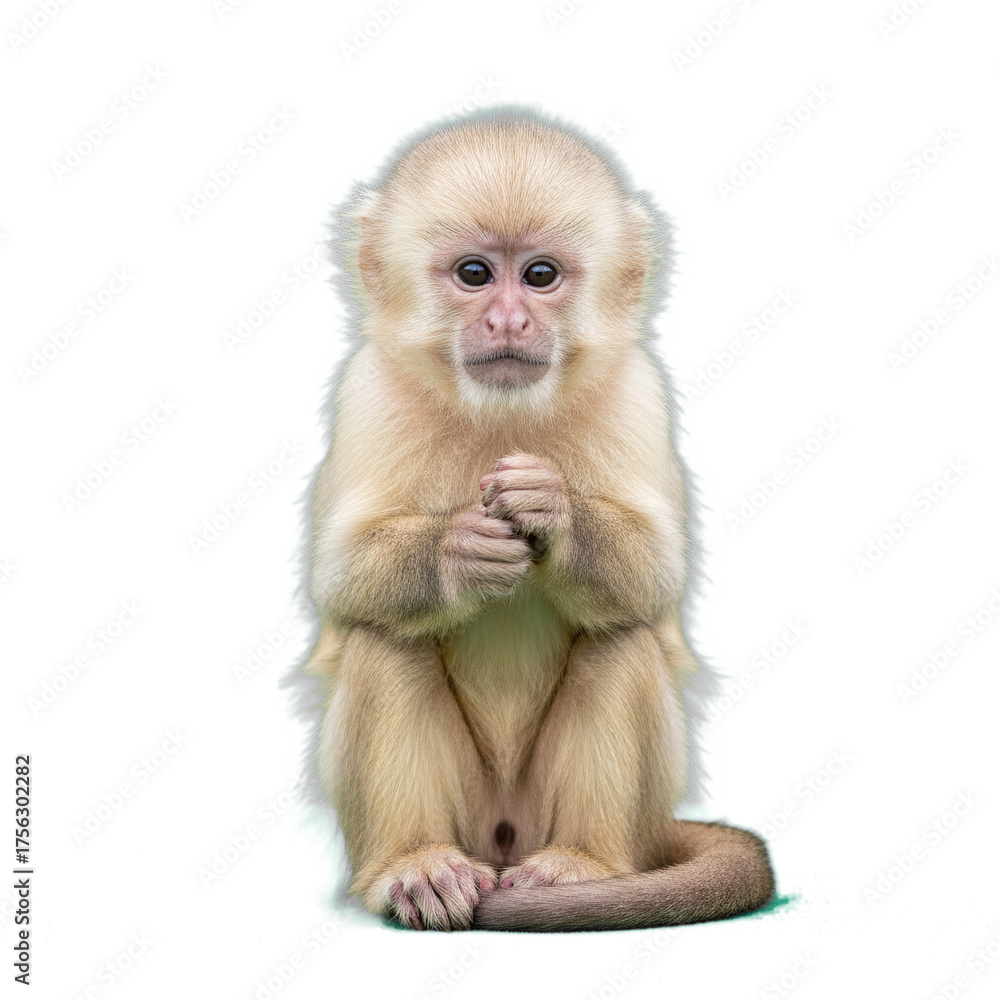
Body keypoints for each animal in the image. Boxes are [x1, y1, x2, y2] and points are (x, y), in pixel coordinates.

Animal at [304, 109, 775, 932]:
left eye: (540, 276)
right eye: (474, 275)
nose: (508, 319)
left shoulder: (639, 387)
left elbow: (657, 575)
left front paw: (551, 511)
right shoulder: (367, 388)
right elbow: (339, 577)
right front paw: (459, 552)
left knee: (622, 634)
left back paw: (581, 864)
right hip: (475, 819)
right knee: (385, 635)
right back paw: (416, 864)